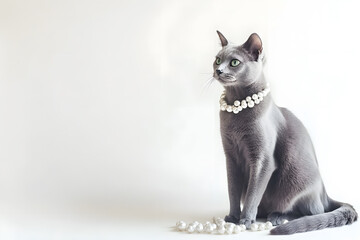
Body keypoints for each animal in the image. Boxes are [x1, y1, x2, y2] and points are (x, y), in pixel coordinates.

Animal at [214, 30, 358, 234]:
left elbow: (253, 193)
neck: (236, 110)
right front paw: (233, 217)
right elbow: (232, 190)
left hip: (297, 176)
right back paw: (264, 213)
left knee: (311, 211)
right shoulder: (231, 157)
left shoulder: (263, 160)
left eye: (234, 62)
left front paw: (245, 220)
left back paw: (278, 217)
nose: (218, 70)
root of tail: (325, 194)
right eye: (217, 60)